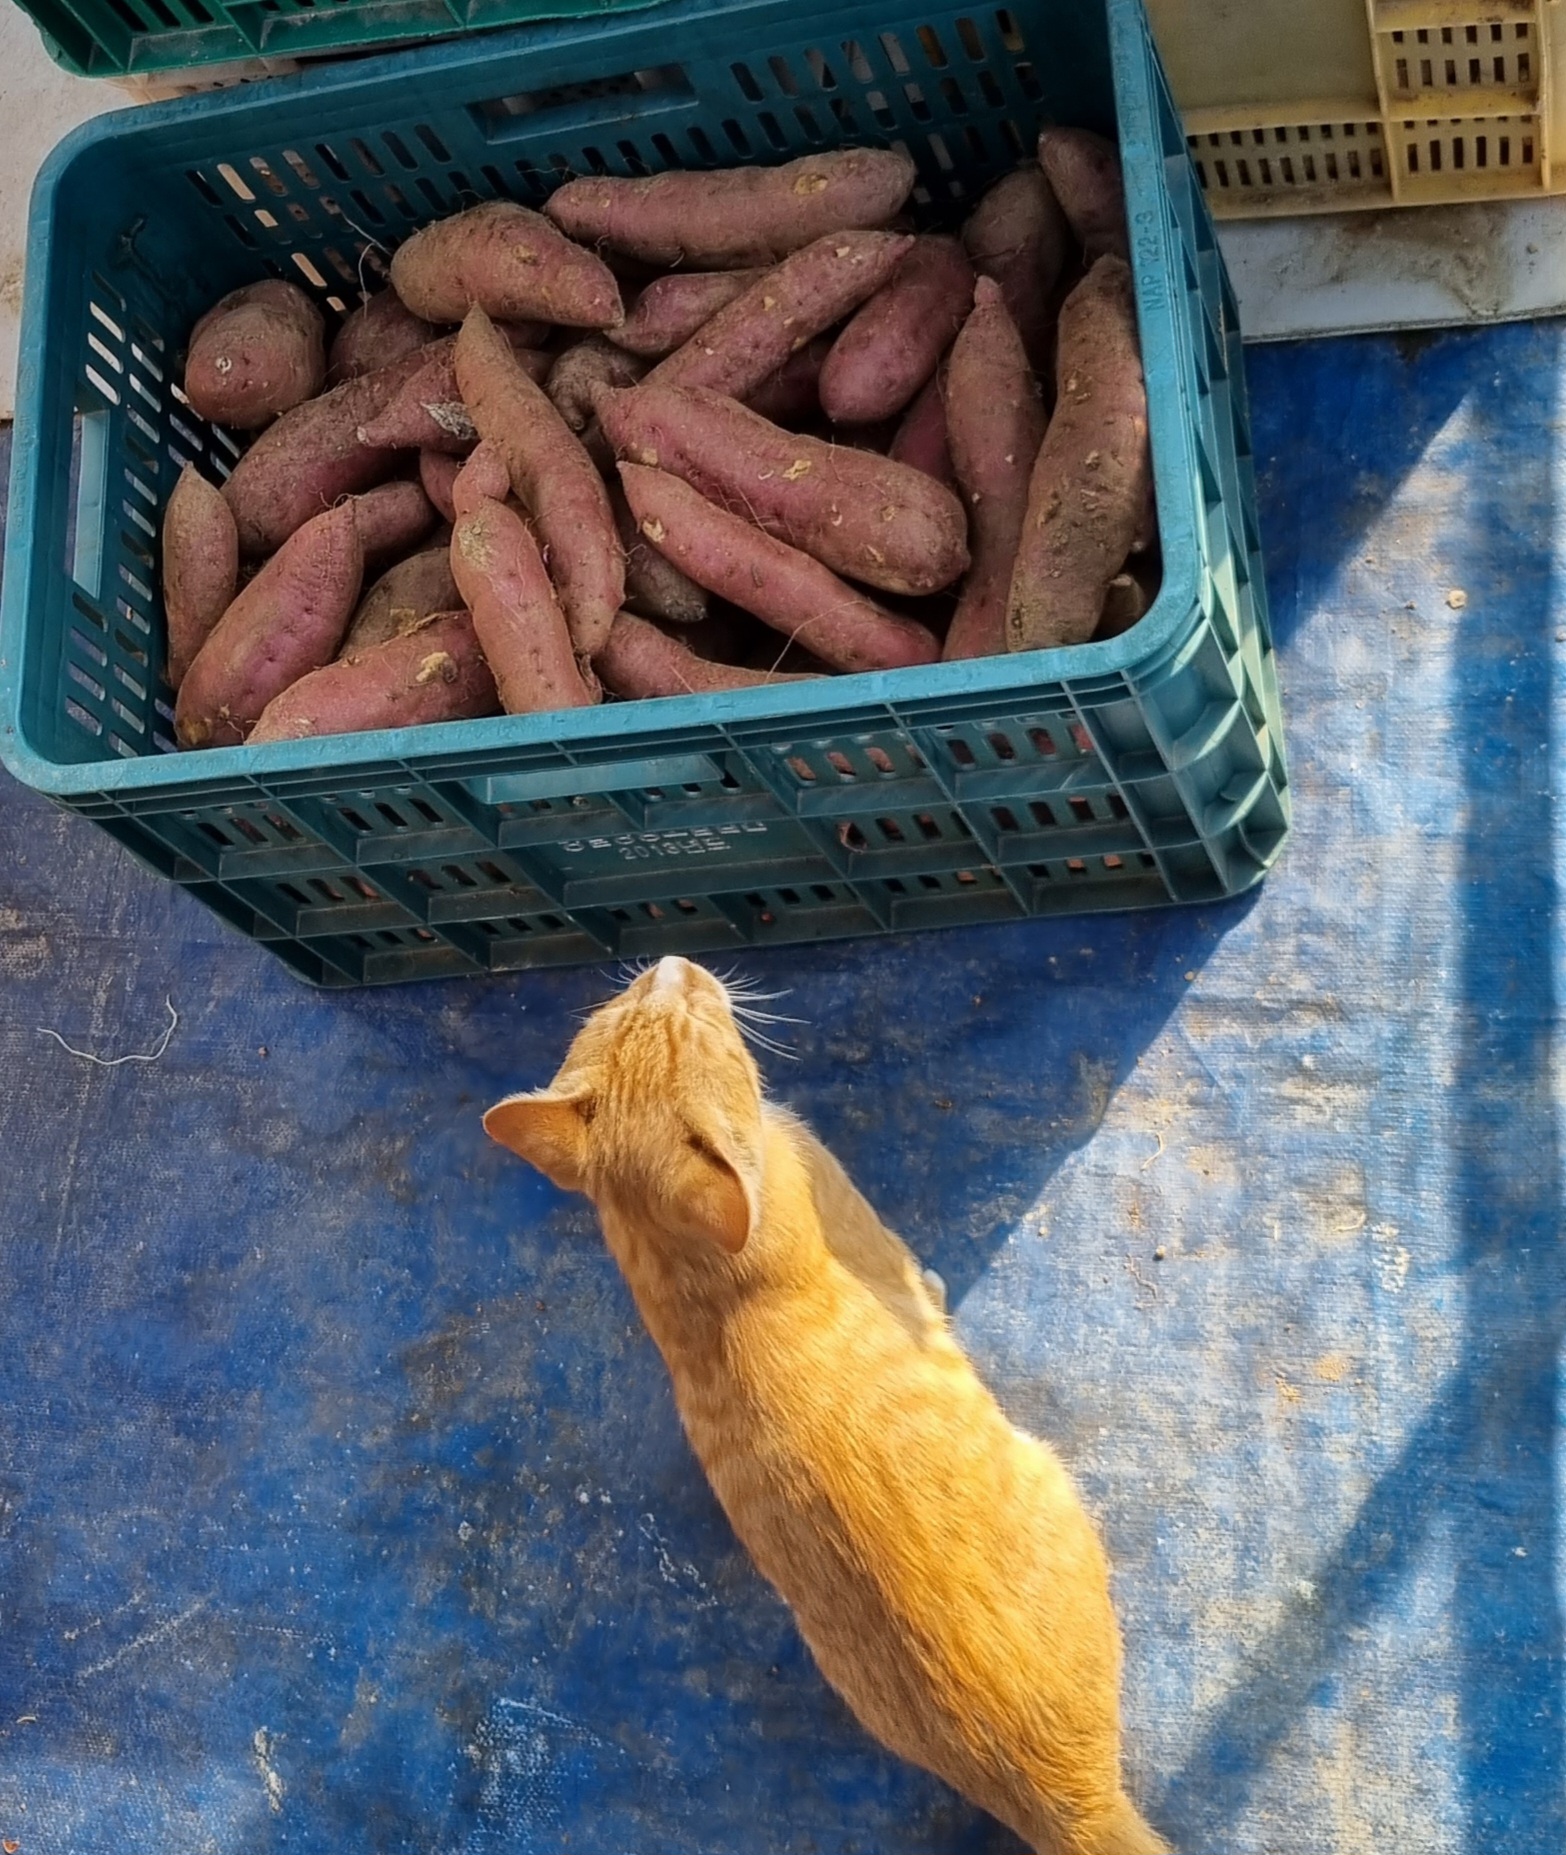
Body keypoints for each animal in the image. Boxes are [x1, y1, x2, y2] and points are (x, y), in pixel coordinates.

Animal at [486, 957, 1165, 1855]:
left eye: (629, 1003)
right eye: (694, 1016)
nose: (675, 963)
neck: (683, 1253)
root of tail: (1066, 1798)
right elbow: (913, 1278)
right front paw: (933, 1294)